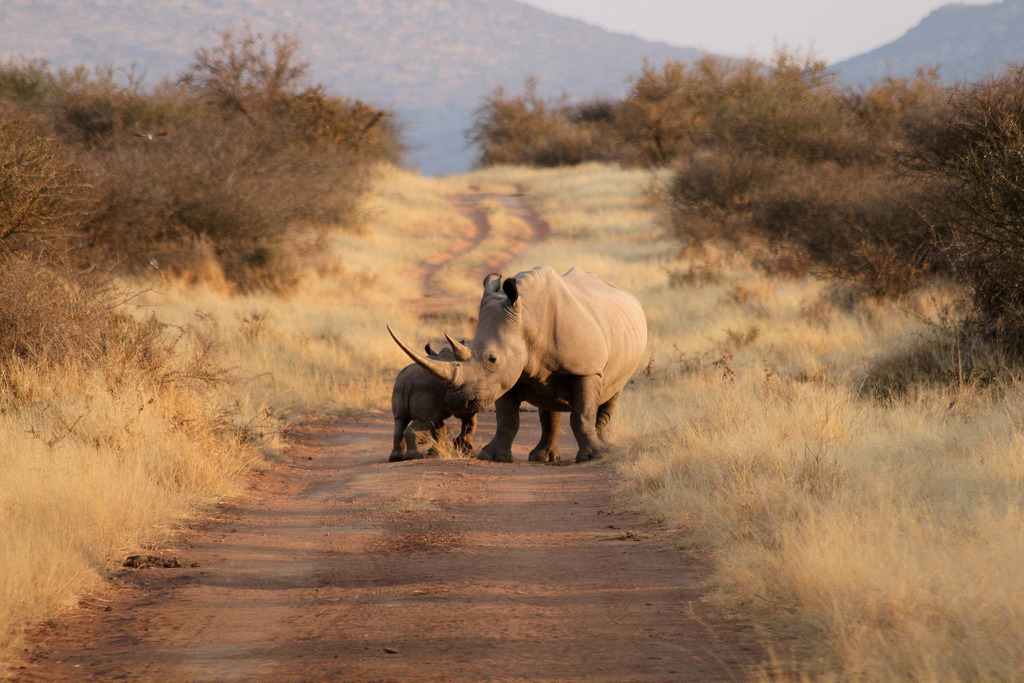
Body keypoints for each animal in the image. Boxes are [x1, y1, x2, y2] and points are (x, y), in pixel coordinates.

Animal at [389, 266, 648, 463]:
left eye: (492, 359)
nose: (457, 403)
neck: (527, 319)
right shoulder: (505, 376)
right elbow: (507, 418)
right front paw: (493, 457)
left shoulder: (586, 370)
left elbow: (582, 414)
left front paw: (593, 457)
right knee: (549, 402)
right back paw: (542, 458)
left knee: (612, 393)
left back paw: (605, 449)